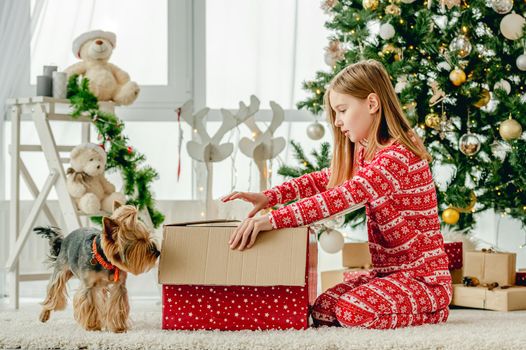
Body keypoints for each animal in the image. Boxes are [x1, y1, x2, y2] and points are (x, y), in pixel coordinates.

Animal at [35, 201, 160, 332]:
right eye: (140, 240)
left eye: (147, 236)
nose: (157, 252)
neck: (106, 260)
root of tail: (64, 240)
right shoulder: (88, 286)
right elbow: (90, 306)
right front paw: (93, 327)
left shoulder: (119, 286)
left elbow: (116, 305)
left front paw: (118, 328)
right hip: (61, 270)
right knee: (54, 290)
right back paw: (44, 314)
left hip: (102, 286)